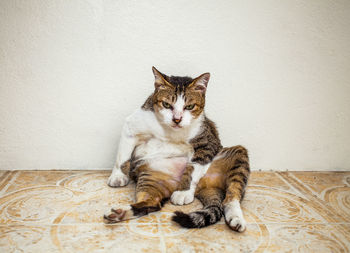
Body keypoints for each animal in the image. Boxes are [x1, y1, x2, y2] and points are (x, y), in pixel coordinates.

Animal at [104, 66, 249, 231]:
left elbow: (193, 168)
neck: (169, 132)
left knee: (232, 195)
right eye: (167, 104)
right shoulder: (131, 127)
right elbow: (122, 157)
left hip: (237, 154)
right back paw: (120, 213)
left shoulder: (208, 143)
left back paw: (235, 218)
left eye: (189, 106)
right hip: (150, 176)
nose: (177, 119)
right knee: (152, 203)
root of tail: (205, 187)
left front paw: (182, 192)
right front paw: (117, 176)